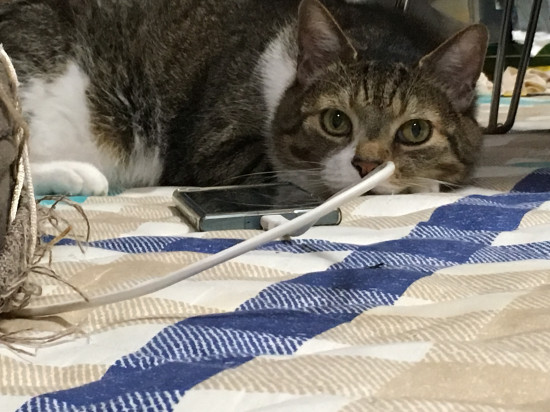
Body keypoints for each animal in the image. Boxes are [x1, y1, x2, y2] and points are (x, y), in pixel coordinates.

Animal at [0, 0, 488, 199]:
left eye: (415, 131)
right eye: (336, 121)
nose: (367, 165)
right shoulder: (216, 154)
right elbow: (293, 171)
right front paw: (419, 183)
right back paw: (78, 175)